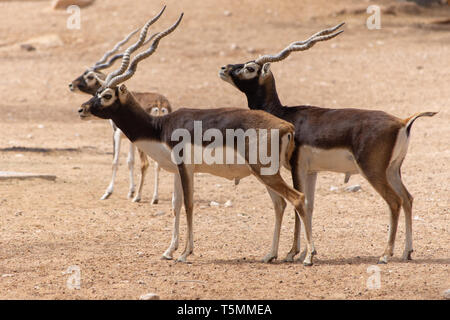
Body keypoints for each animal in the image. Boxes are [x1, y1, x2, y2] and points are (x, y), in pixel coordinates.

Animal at [220, 21, 438, 262]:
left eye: (250, 68)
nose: (224, 68)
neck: (285, 115)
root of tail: (402, 121)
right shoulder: (312, 171)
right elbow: (309, 206)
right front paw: (305, 252)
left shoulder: (297, 167)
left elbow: (298, 203)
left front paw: (292, 253)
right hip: (392, 170)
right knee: (408, 198)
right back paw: (406, 251)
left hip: (373, 171)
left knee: (394, 201)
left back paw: (385, 254)